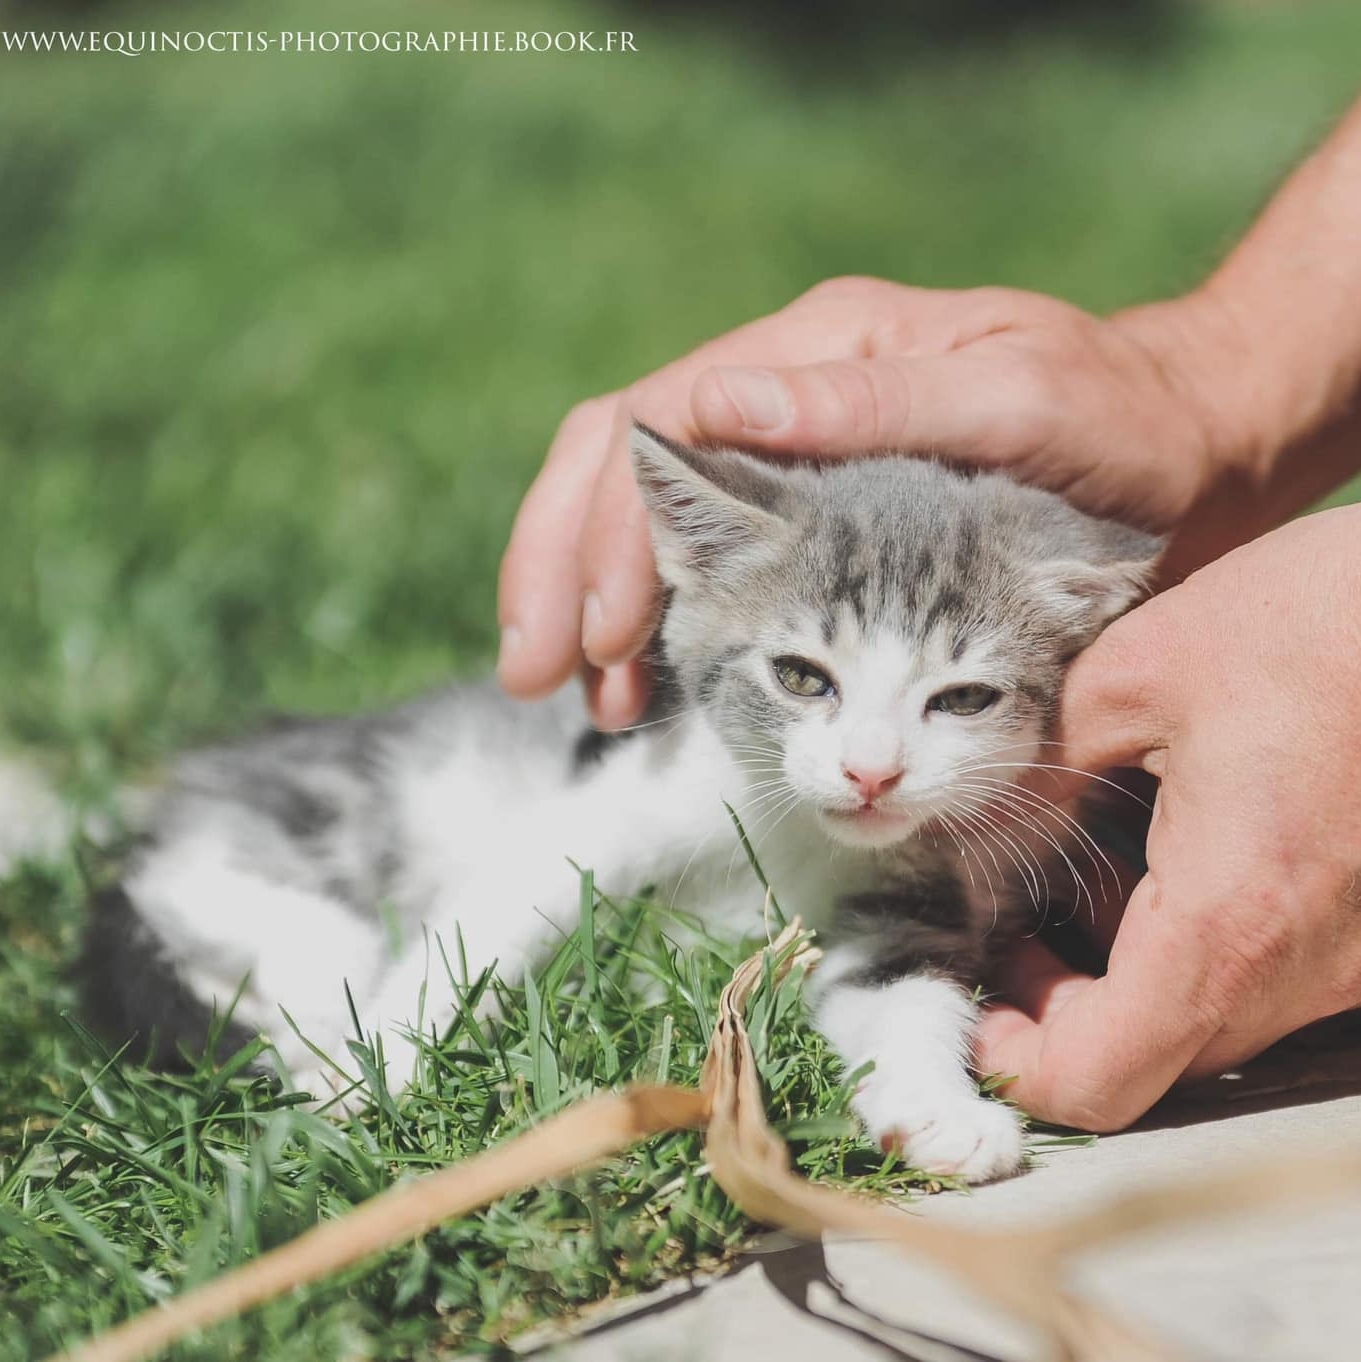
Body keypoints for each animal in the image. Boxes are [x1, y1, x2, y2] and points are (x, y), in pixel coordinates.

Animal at [82, 424, 1160, 1182]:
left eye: (963, 699)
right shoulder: (615, 798)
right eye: (801, 677)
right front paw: (372, 1070)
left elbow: (904, 997)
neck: (796, 837)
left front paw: (940, 1112)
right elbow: (484, 926)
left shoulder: (913, 892)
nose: (870, 773)